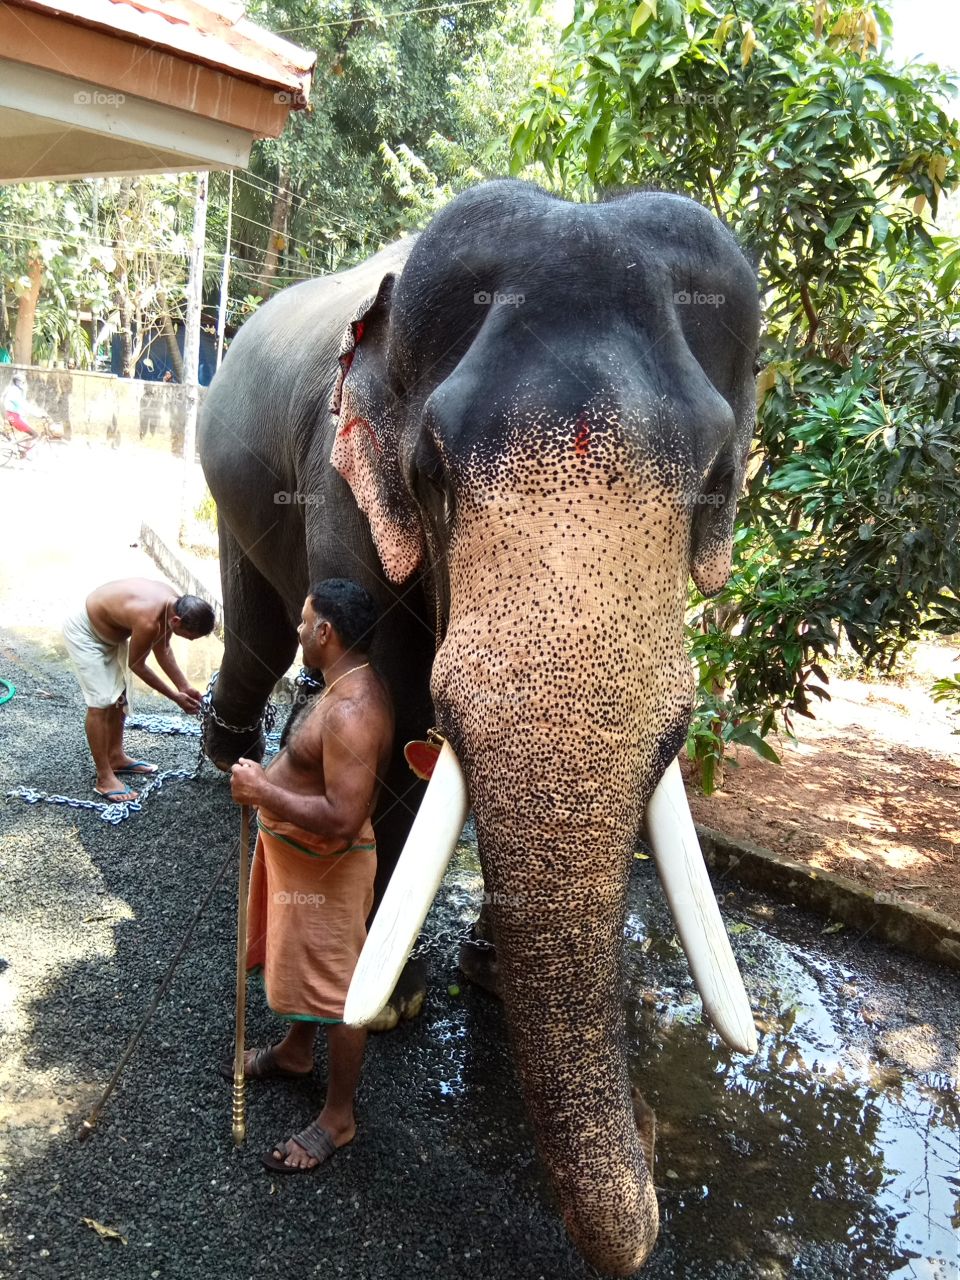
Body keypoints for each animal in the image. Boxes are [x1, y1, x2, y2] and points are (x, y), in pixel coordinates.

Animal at [198, 178, 760, 1275]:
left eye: (717, 473)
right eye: (432, 468)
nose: (653, 1159)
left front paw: (484, 982)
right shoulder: (340, 476)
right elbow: (394, 694)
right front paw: (398, 998)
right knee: (255, 631)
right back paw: (222, 758)